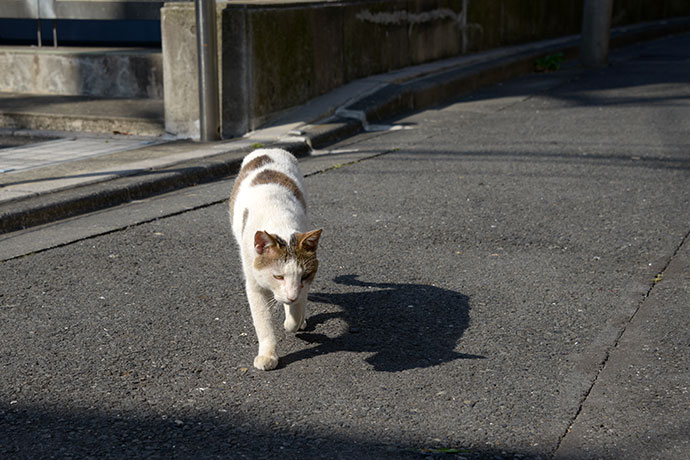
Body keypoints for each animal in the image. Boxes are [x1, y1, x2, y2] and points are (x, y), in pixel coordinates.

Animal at [228, 149, 320, 372]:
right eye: (278, 276)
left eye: (304, 275)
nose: (292, 295)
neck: (278, 222)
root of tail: (267, 149)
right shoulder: (254, 287)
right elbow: (263, 324)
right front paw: (267, 355)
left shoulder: (304, 286)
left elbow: (296, 310)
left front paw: (293, 321)